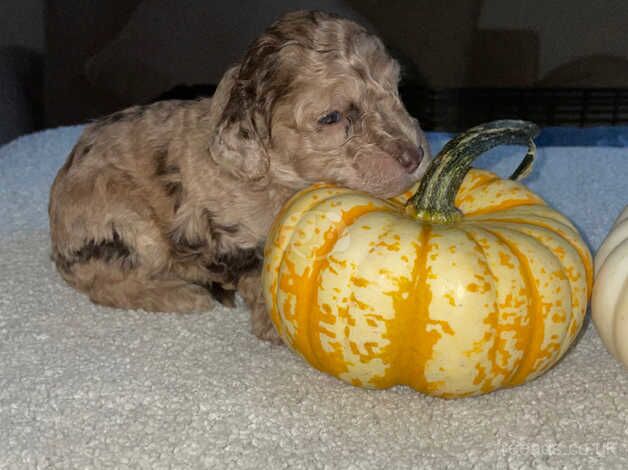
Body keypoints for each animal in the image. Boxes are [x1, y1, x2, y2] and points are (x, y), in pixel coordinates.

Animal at [50, 10, 432, 342]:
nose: (415, 156)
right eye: (331, 118)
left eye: (396, 88)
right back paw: (179, 295)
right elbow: (257, 271)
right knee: (105, 284)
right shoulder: (232, 237)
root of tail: (57, 243)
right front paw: (273, 324)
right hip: (127, 225)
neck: (274, 178)